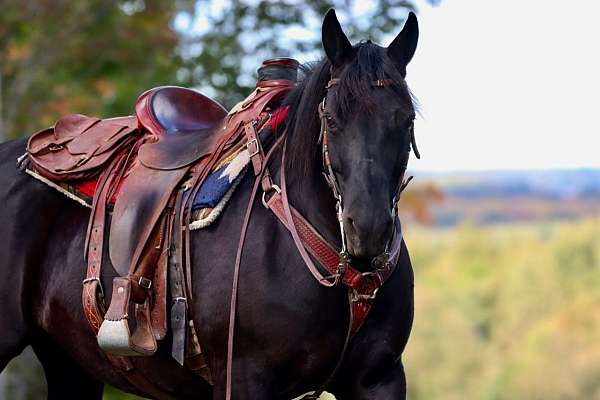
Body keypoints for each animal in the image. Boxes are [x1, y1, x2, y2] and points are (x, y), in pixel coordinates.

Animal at [0, 10, 418, 400]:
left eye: (407, 120)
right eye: (330, 119)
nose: (368, 229)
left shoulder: (378, 379)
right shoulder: (245, 377)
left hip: (70, 362)